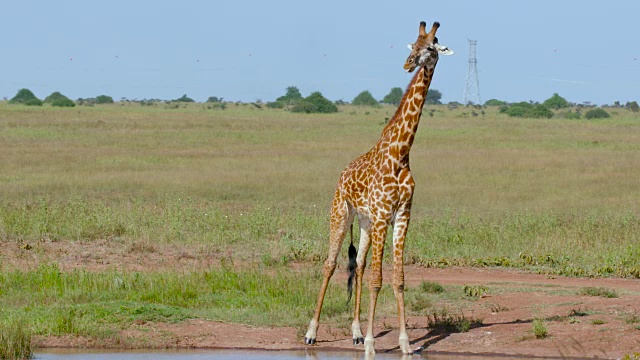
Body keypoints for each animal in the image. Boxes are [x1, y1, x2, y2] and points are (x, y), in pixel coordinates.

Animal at [302, 20, 452, 354]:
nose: (408, 63)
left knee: (357, 264)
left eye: (430, 47)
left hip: (365, 222)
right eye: (412, 45)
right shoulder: (384, 215)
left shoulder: (401, 215)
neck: (401, 153)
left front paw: (405, 343)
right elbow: (377, 279)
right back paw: (312, 333)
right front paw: (372, 344)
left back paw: (356, 331)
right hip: (340, 213)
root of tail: (342, 173)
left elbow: (397, 278)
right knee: (330, 264)